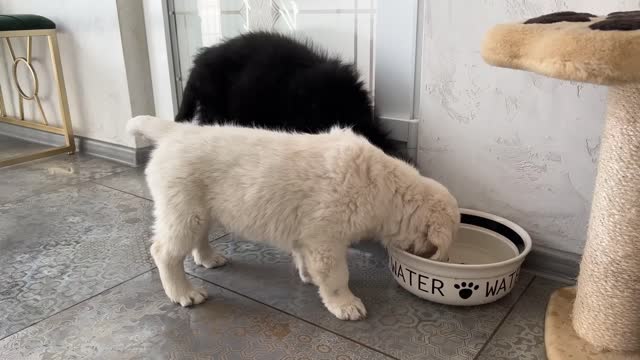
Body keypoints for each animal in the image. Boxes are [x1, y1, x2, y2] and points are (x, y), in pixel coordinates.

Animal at [127, 115, 460, 320]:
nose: (447, 261)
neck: (383, 189)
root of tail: (176, 131)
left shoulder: (309, 235)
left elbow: (305, 256)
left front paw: (309, 276)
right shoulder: (326, 237)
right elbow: (337, 275)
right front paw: (345, 304)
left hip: (200, 207)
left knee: (199, 236)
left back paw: (209, 258)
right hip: (182, 207)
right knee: (164, 251)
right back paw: (184, 293)